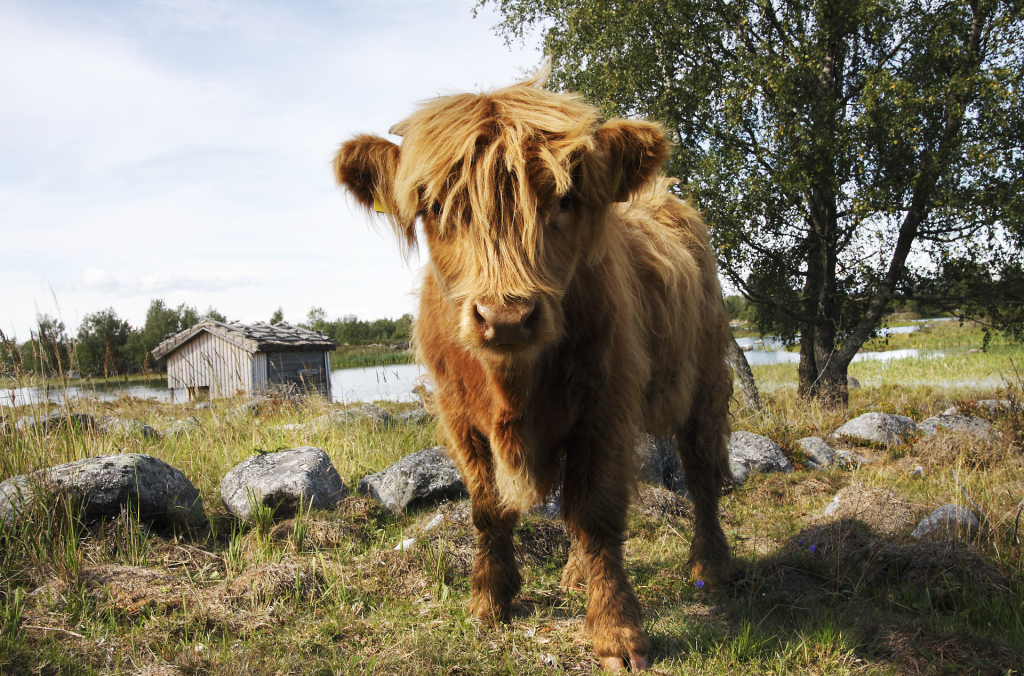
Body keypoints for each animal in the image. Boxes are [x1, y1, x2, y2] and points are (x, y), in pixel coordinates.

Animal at [335, 71, 737, 667]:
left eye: (565, 199)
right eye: (435, 204)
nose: (505, 317)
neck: (512, 387)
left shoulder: (606, 404)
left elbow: (595, 512)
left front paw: (617, 633)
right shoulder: (458, 415)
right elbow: (489, 508)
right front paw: (490, 600)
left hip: (706, 379)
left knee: (701, 469)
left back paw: (711, 564)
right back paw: (574, 575)